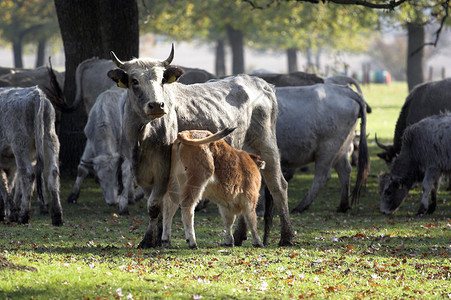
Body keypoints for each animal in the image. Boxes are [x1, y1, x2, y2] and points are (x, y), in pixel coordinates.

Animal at [0, 85, 62, 224]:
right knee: (52, 172)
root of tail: (36, 93)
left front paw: (10, 213)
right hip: (50, 139)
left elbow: (3, 184)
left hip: (20, 144)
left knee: (28, 174)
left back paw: (23, 215)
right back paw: (57, 216)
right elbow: (8, 183)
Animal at [106, 44, 296, 246]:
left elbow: (156, 205)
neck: (142, 137)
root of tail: (261, 83)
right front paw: (154, 238)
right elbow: (154, 205)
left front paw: (151, 240)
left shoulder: (163, 168)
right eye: (134, 80)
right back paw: (239, 235)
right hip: (243, 147)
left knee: (278, 185)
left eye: (162, 80)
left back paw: (286, 236)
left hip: (265, 141)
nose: (157, 105)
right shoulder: (140, 170)